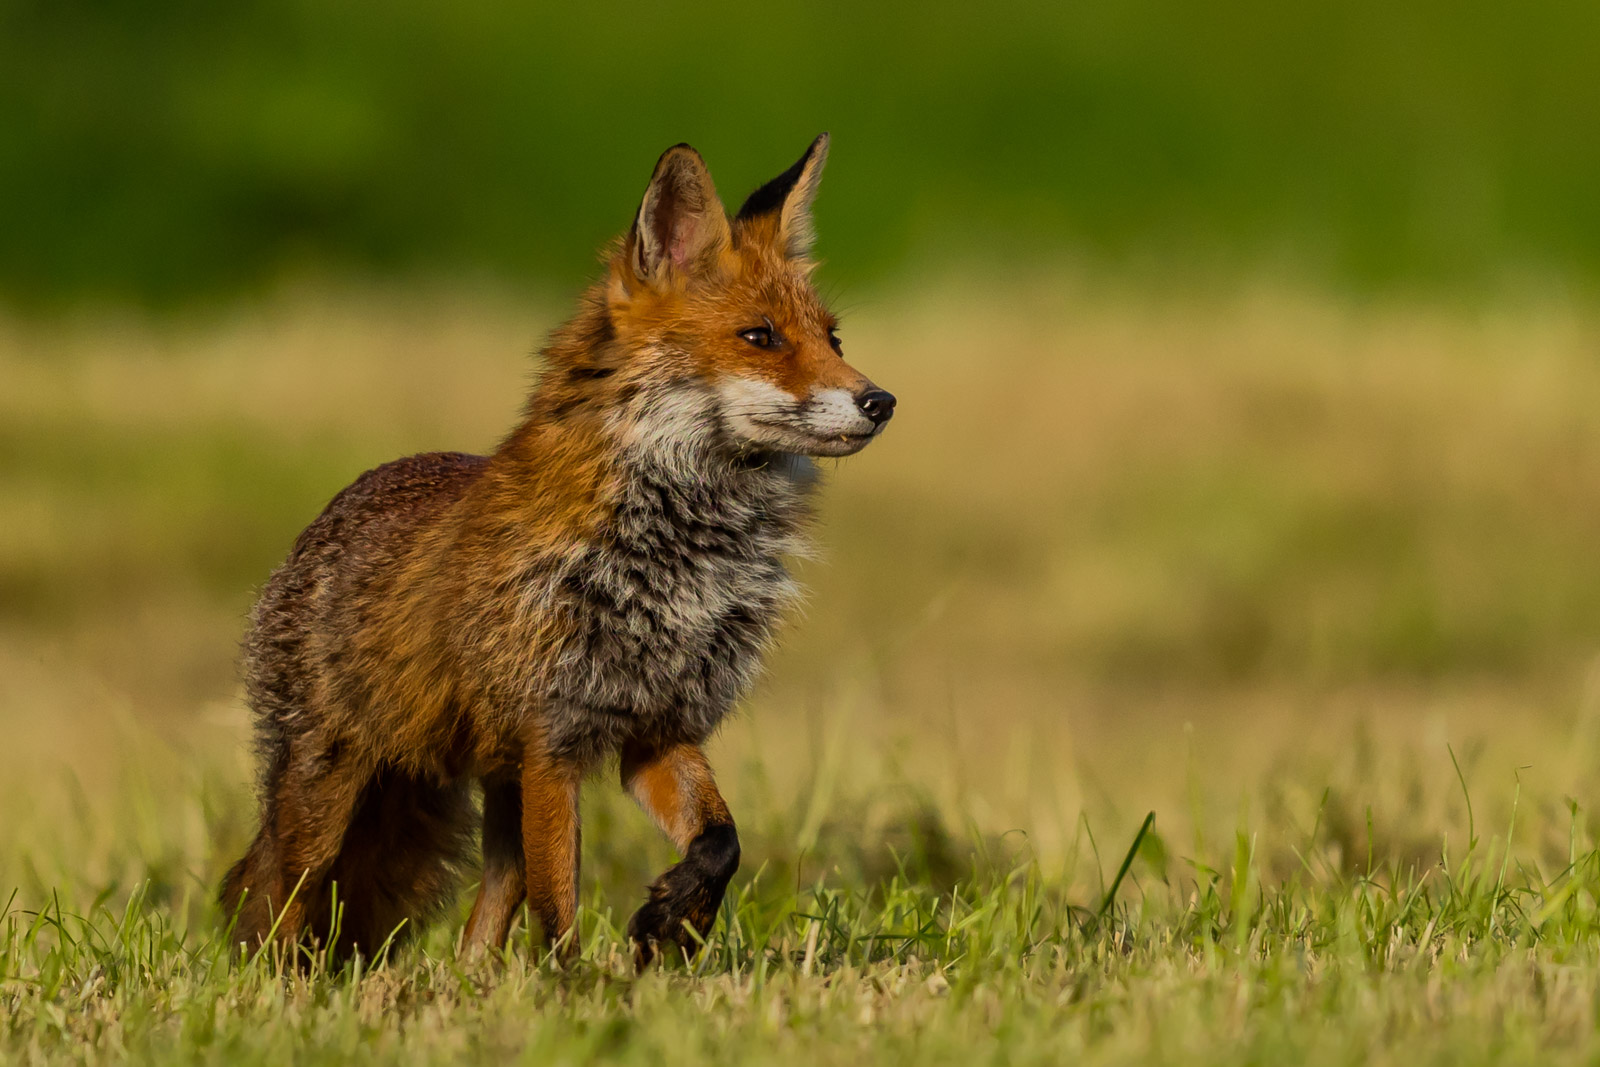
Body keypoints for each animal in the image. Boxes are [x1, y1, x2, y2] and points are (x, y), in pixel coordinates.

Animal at [222, 135, 902, 966]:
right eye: (761, 337)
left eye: (833, 339)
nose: (881, 401)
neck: (681, 561)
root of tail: (329, 513)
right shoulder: (552, 740)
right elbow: (560, 906)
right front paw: (576, 984)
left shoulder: (656, 730)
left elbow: (721, 841)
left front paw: (673, 919)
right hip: (330, 795)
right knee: (282, 895)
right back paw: (283, 978)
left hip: (494, 789)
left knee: (486, 912)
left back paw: (472, 981)